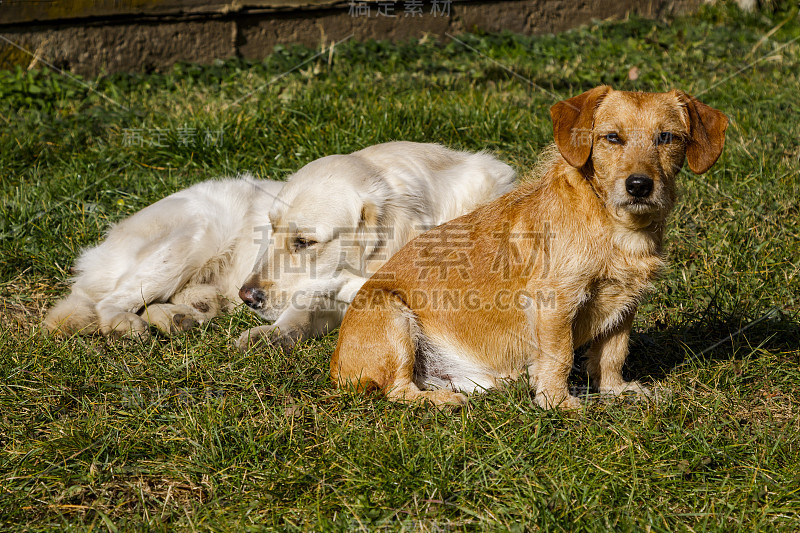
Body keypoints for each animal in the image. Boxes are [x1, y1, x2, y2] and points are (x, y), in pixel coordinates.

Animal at [328, 86, 728, 408]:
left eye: (667, 137)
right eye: (612, 138)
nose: (639, 185)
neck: (618, 227)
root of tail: (336, 368)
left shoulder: (625, 305)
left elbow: (613, 354)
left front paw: (616, 391)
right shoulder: (556, 300)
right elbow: (561, 355)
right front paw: (557, 403)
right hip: (392, 315)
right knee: (397, 390)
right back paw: (443, 400)